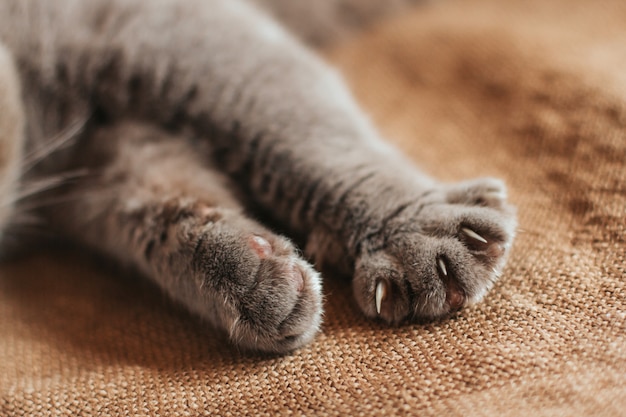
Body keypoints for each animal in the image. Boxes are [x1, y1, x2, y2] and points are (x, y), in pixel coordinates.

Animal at [0, 0, 512, 352]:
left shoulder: (166, 32)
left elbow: (289, 129)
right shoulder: (95, 168)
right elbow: (153, 210)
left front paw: (412, 233)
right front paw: (247, 279)